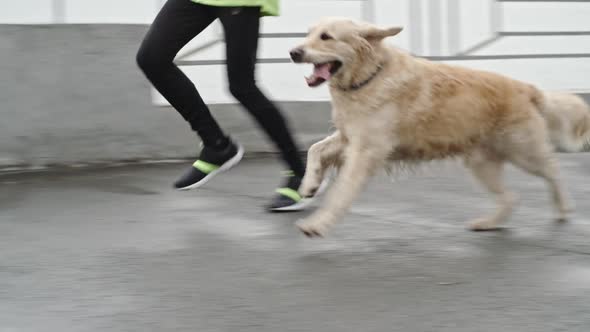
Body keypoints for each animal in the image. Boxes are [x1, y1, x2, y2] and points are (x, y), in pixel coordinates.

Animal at [292, 17, 590, 236]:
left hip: (523, 151)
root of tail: (527, 88)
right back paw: (488, 223)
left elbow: (341, 191)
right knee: (511, 197)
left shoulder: (367, 151)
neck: (369, 76)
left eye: (326, 37)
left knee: (554, 172)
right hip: (482, 163)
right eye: (309, 33)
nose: (293, 52)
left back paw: (563, 209)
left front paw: (318, 223)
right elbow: (316, 149)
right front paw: (308, 185)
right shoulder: (349, 137)